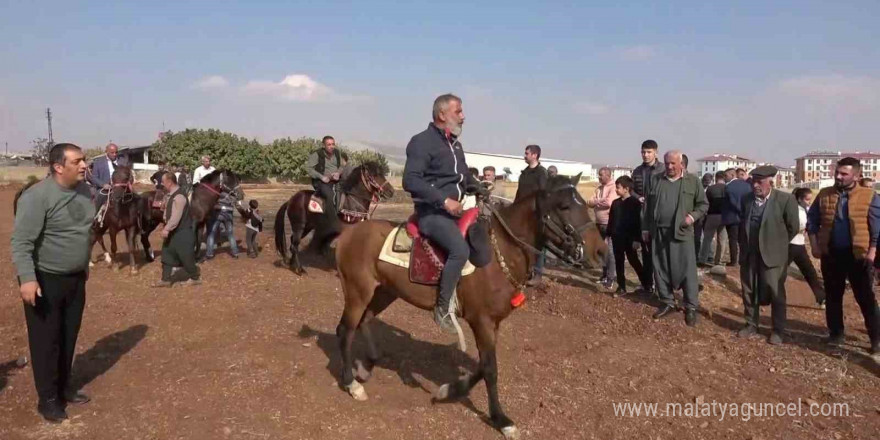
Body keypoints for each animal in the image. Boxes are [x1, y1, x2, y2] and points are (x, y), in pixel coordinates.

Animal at [334, 174, 596, 438]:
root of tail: (349, 233)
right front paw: (501, 419)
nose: (598, 252)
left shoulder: (493, 323)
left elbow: (482, 365)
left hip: (385, 291)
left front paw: (448, 391)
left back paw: (366, 365)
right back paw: (351, 384)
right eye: (564, 206)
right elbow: (490, 369)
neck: (499, 252)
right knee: (345, 330)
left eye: (584, 203)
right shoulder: (481, 321)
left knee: (365, 319)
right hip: (358, 292)